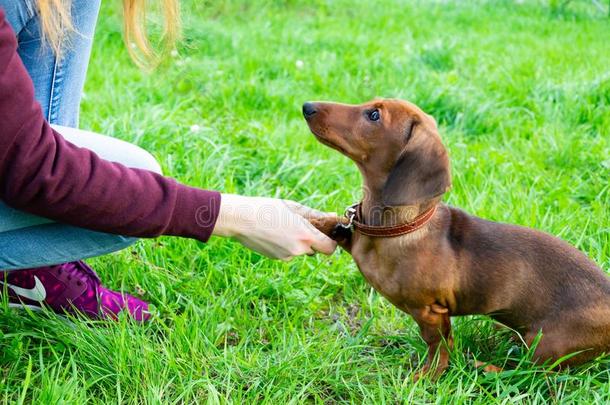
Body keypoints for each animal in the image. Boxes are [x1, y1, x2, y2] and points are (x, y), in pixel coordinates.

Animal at [300, 98, 608, 378]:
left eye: (374, 115)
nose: (307, 106)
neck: (400, 227)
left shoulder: (430, 311)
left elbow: (438, 346)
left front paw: (426, 377)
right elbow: (333, 223)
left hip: (548, 344)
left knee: (530, 372)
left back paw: (487, 367)